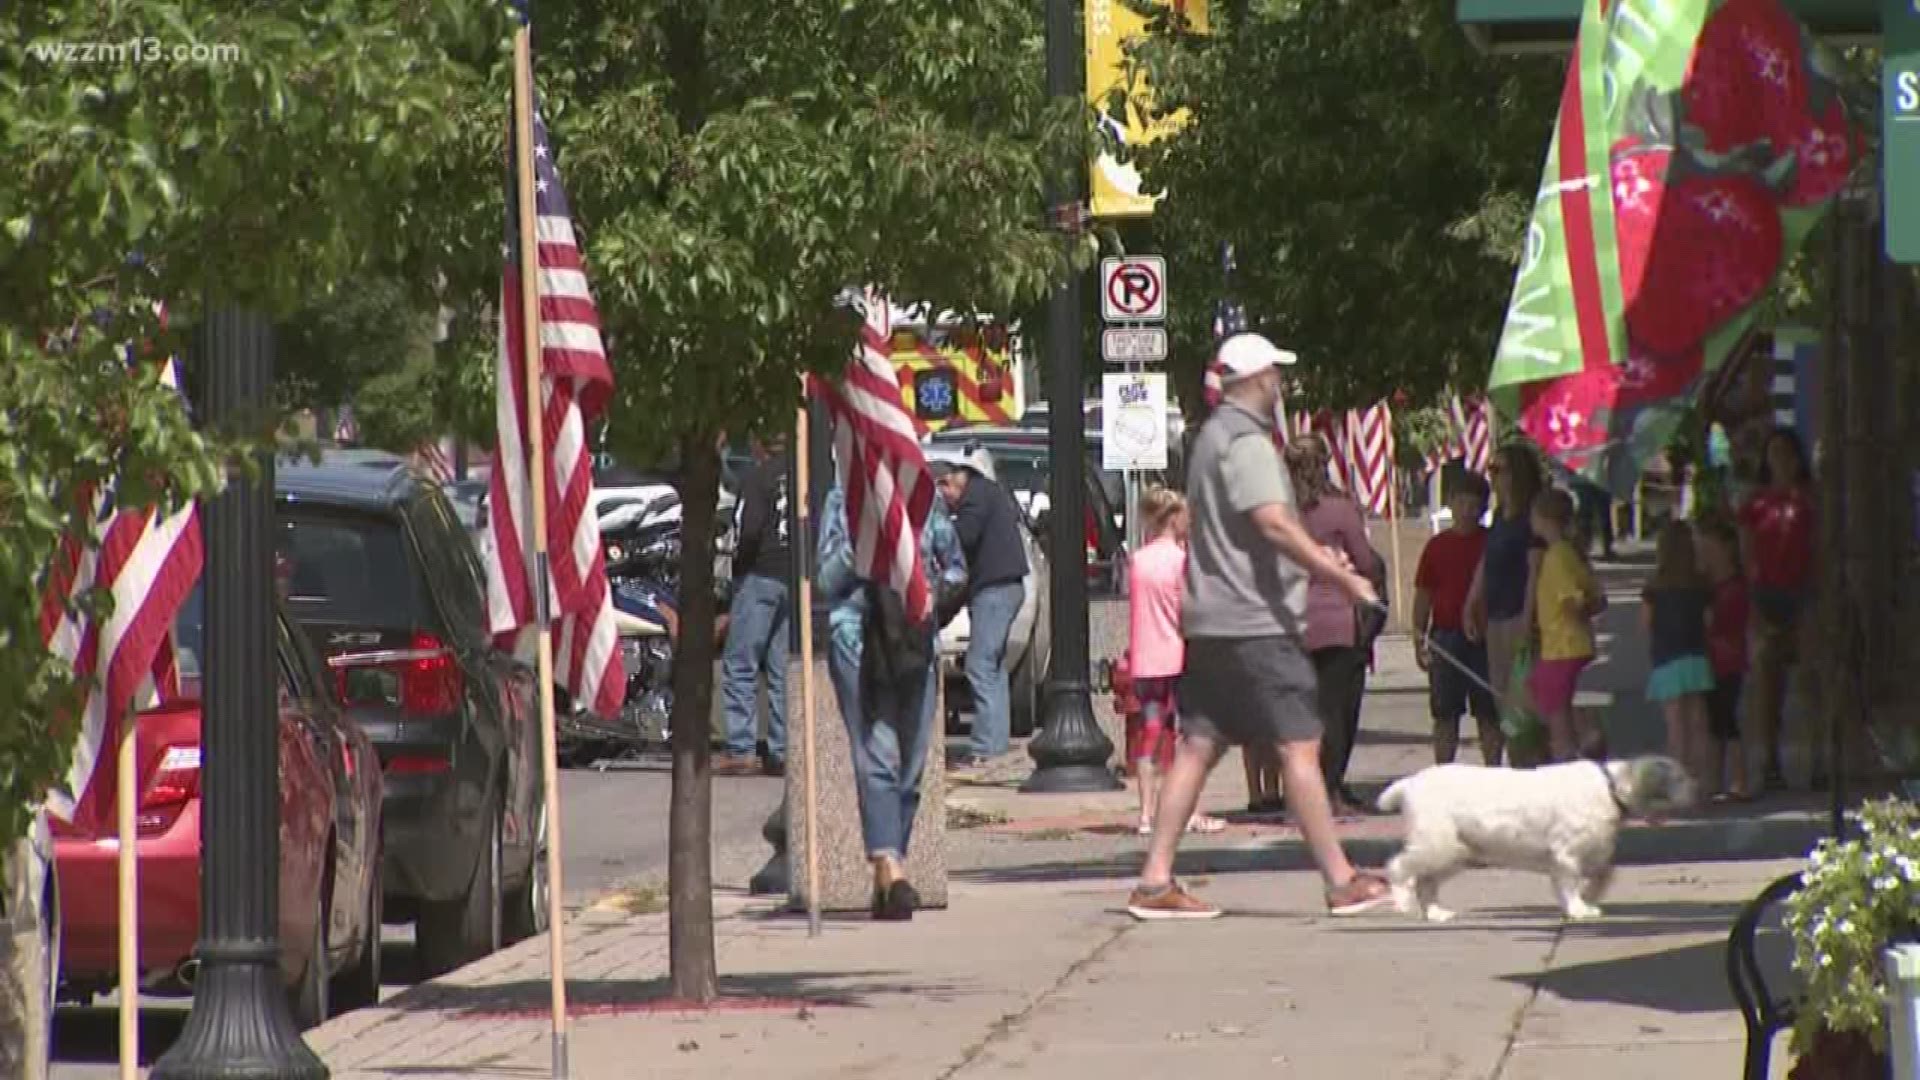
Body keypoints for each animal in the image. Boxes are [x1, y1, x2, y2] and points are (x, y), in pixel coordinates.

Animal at [1382, 753, 1697, 922]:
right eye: (1679, 778)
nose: (1698, 789)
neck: (1610, 787)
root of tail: (1410, 782)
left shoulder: (1592, 850)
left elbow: (1605, 873)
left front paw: (1588, 899)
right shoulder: (1567, 854)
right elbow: (1570, 884)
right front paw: (1578, 909)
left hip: (1455, 851)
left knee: (1425, 882)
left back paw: (1437, 914)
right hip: (1436, 843)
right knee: (1398, 868)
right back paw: (1402, 902)